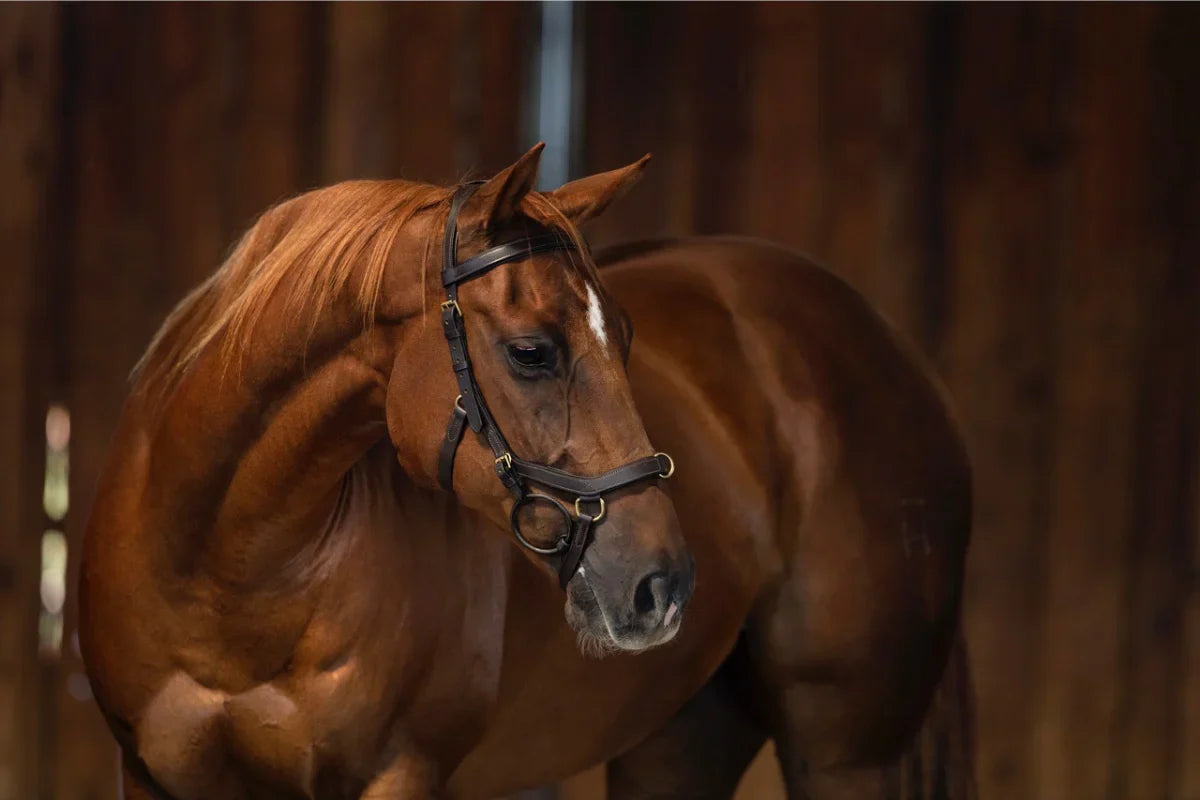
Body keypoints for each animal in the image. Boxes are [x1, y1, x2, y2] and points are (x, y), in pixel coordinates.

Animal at [80, 144, 973, 800]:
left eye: (627, 337)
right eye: (531, 352)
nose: (662, 585)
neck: (232, 573)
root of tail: (890, 348)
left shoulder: (399, 775)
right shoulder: (151, 777)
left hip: (844, 753)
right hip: (678, 740)